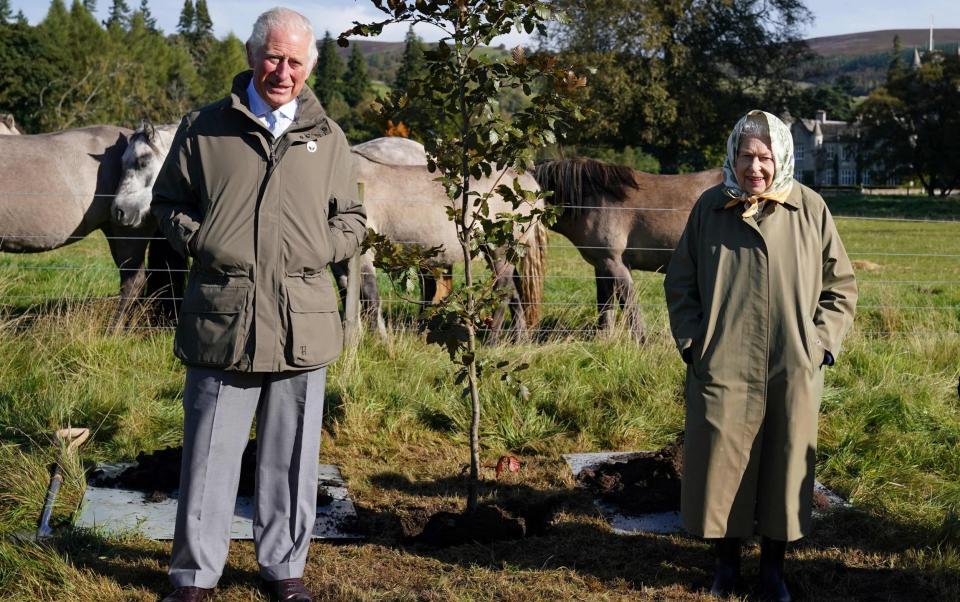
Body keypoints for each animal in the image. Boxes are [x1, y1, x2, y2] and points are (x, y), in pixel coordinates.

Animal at [532, 157, 720, 340]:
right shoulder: (602, 266)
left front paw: (641, 342)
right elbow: (605, 305)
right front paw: (604, 340)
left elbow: (629, 305)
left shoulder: (615, 263)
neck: (593, 200)